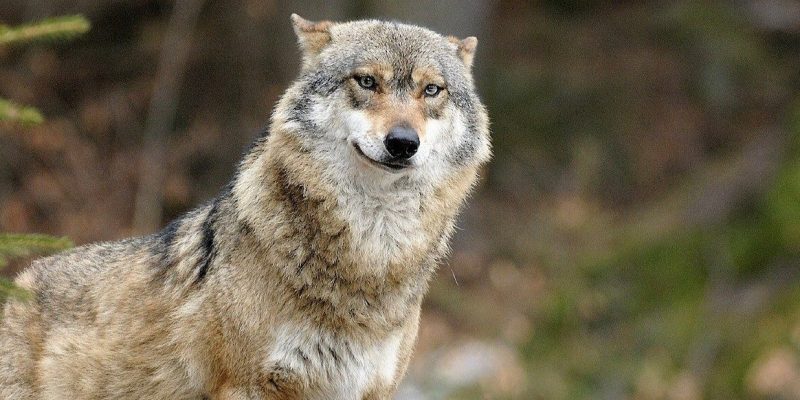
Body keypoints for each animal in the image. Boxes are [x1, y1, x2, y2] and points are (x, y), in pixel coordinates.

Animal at [0, 14, 490, 400]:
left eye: (432, 90)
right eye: (367, 81)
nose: (403, 143)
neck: (369, 258)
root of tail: (17, 283)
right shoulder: (246, 384)